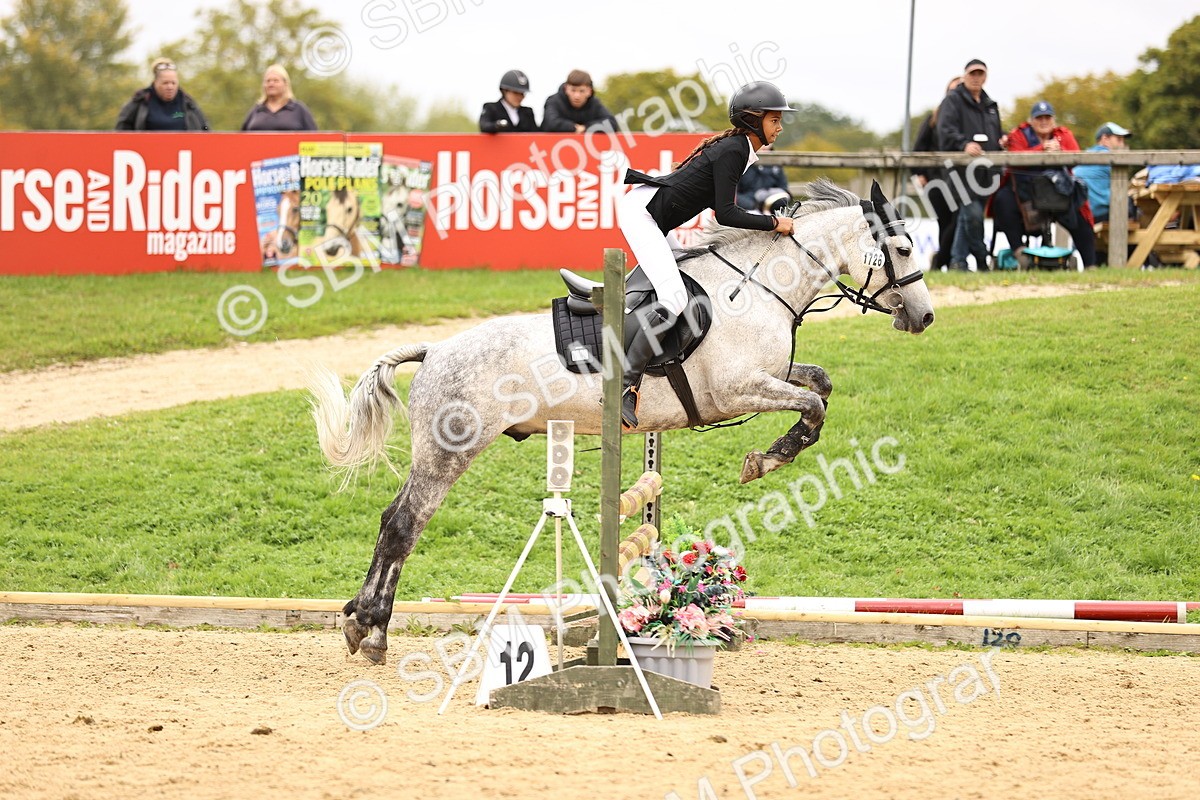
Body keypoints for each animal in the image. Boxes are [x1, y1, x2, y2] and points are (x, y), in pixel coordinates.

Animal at [309, 179, 935, 664]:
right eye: (902, 248)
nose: (925, 317)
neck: (760, 289)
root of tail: (435, 350)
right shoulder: (737, 390)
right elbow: (813, 407)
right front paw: (768, 459)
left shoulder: (771, 375)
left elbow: (820, 384)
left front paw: (774, 451)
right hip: (449, 452)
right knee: (403, 525)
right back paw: (371, 630)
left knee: (393, 522)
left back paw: (359, 619)